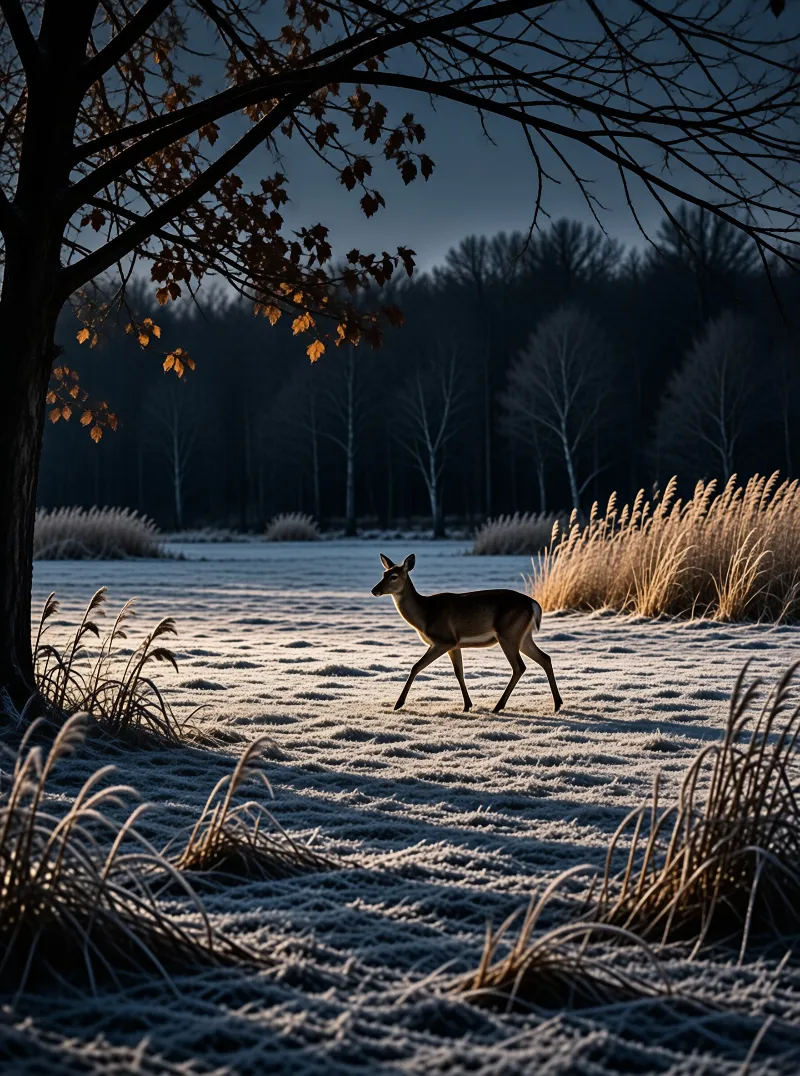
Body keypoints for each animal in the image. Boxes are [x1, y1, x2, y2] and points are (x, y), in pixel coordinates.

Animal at [371, 553, 563, 714]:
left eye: (394, 576)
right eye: (383, 573)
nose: (374, 590)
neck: (426, 615)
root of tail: (533, 604)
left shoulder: (444, 640)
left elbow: (416, 666)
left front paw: (398, 704)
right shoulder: (454, 645)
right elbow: (459, 673)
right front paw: (467, 705)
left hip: (508, 634)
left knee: (519, 667)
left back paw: (498, 706)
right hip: (523, 636)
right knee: (545, 658)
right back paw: (557, 704)